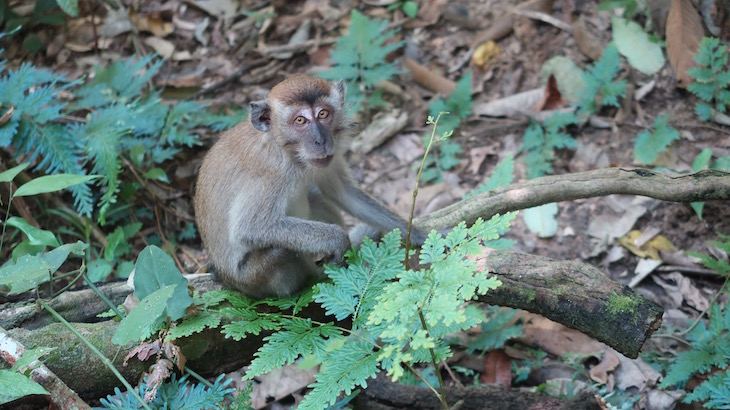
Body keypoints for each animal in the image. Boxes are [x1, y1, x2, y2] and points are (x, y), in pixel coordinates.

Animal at [193, 74, 426, 298]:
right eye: (300, 120)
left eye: (323, 114)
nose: (320, 140)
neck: (287, 152)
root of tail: (229, 281)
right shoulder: (269, 174)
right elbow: (250, 228)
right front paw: (339, 240)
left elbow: (342, 193)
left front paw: (416, 234)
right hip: (254, 279)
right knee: (281, 251)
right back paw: (318, 274)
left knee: (316, 197)